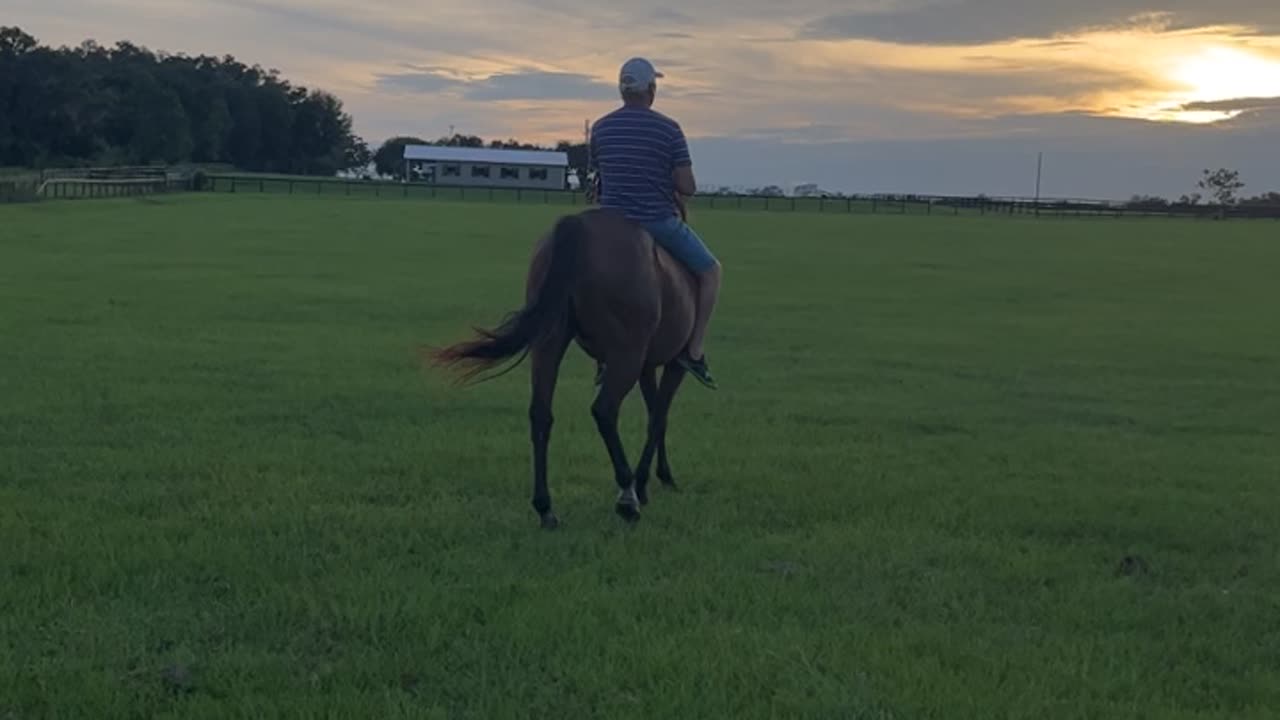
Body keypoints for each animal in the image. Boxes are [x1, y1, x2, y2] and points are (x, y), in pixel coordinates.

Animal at [430, 207, 696, 527]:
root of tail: (578, 223)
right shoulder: (674, 362)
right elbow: (658, 418)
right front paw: (650, 482)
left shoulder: (649, 365)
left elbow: (655, 415)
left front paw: (657, 477)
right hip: (626, 353)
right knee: (604, 410)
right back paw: (627, 498)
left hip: (550, 340)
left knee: (540, 414)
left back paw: (545, 508)